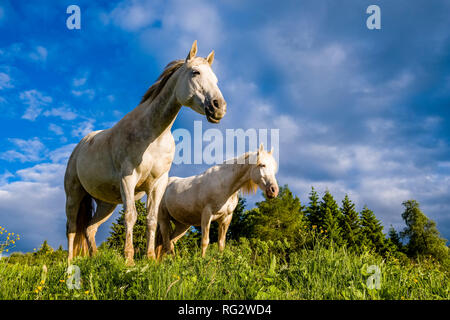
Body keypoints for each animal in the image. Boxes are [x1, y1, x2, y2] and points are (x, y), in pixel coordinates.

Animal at [63, 40, 227, 264]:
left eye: (216, 79)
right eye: (195, 72)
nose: (219, 107)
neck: (153, 135)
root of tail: (80, 146)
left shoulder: (157, 184)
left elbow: (151, 219)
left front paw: (149, 258)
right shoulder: (128, 179)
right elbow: (131, 216)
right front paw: (129, 259)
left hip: (106, 203)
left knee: (89, 228)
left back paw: (94, 258)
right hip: (74, 195)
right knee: (72, 228)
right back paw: (70, 262)